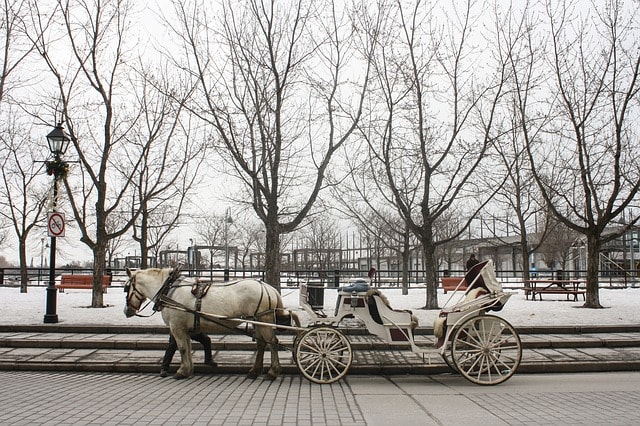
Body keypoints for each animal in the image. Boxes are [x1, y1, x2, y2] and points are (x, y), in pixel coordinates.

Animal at [123, 268, 298, 382]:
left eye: (126, 288)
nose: (126, 311)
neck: (169, 290)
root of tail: (269, 288)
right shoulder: (185, 329)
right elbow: (187, 347)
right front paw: (188, 369)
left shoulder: (177, 327)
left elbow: (182, 348)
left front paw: (182, 371)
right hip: (256, 321)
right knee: (262, 344)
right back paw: (254, 371)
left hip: (264, 320)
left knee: (272, 343)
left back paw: (273, 372)